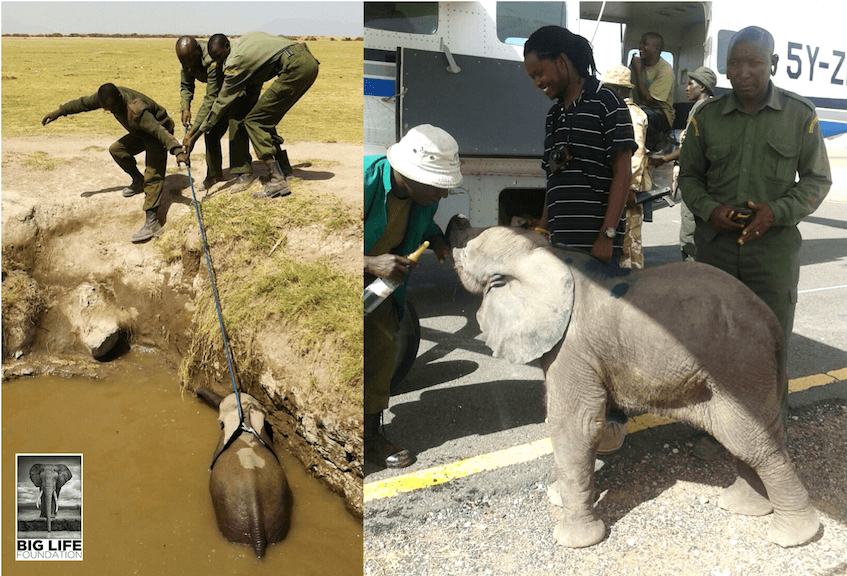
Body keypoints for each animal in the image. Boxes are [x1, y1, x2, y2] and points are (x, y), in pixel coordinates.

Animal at [448, 216, 820, 548]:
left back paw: (792, 536)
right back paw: (743, 506)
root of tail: (771, 321)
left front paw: (574, 541)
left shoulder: (572, 347)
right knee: (757, 437)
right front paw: (558, 496)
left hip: (739, 365)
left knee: (753, 443)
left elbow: (575, 423)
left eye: (471, 246)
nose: (457, 220)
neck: (546, 252)